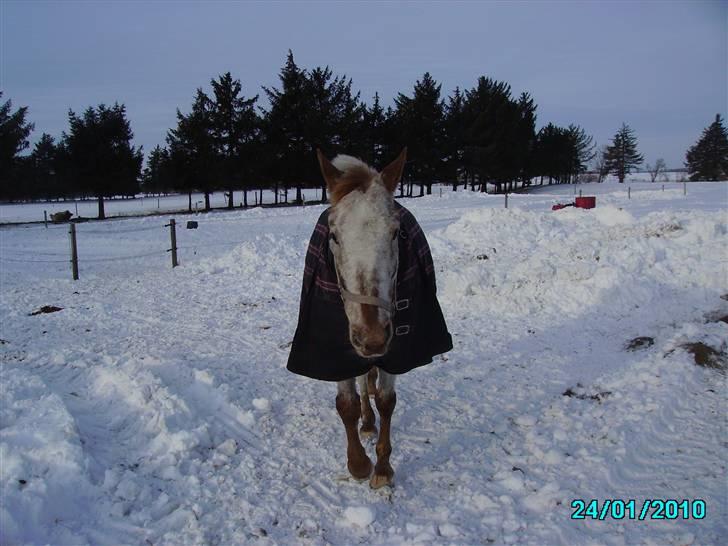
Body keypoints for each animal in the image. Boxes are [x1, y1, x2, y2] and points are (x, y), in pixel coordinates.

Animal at [288, 150, 452, 488]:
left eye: (394, 232)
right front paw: (358, 464)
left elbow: (387, 401)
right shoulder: (336, 350)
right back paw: (366, 421)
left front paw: (383, 468)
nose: (372, 338)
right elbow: (346, 404)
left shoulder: (397, 350)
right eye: (334, 235)